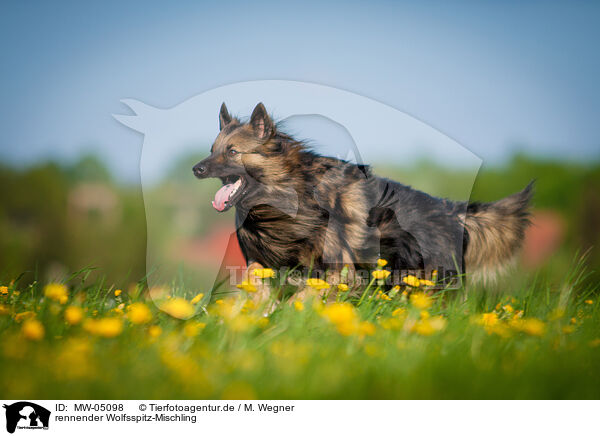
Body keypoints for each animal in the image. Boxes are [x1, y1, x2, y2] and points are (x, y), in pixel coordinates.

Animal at [195, 103, 532, 290]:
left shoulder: (337, 267)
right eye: (212, 150)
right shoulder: (262, 262)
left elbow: (309, 294)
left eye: (232, 152)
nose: (196, 169)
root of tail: (449, 210)